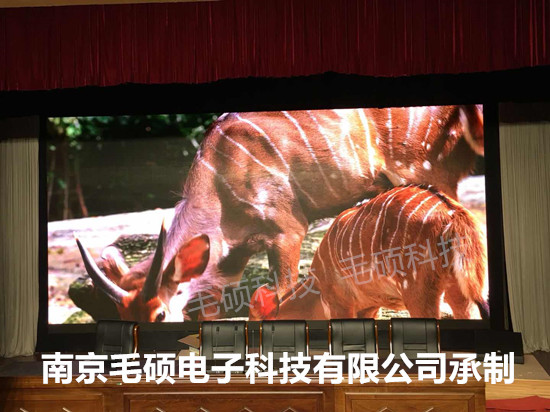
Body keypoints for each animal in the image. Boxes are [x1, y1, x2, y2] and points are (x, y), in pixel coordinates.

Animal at [250, 185, 489, 320]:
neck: (317, 288)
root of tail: (452, 214)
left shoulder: (340, 304)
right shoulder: (370, 308)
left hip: (420, 293)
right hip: (458, 293)